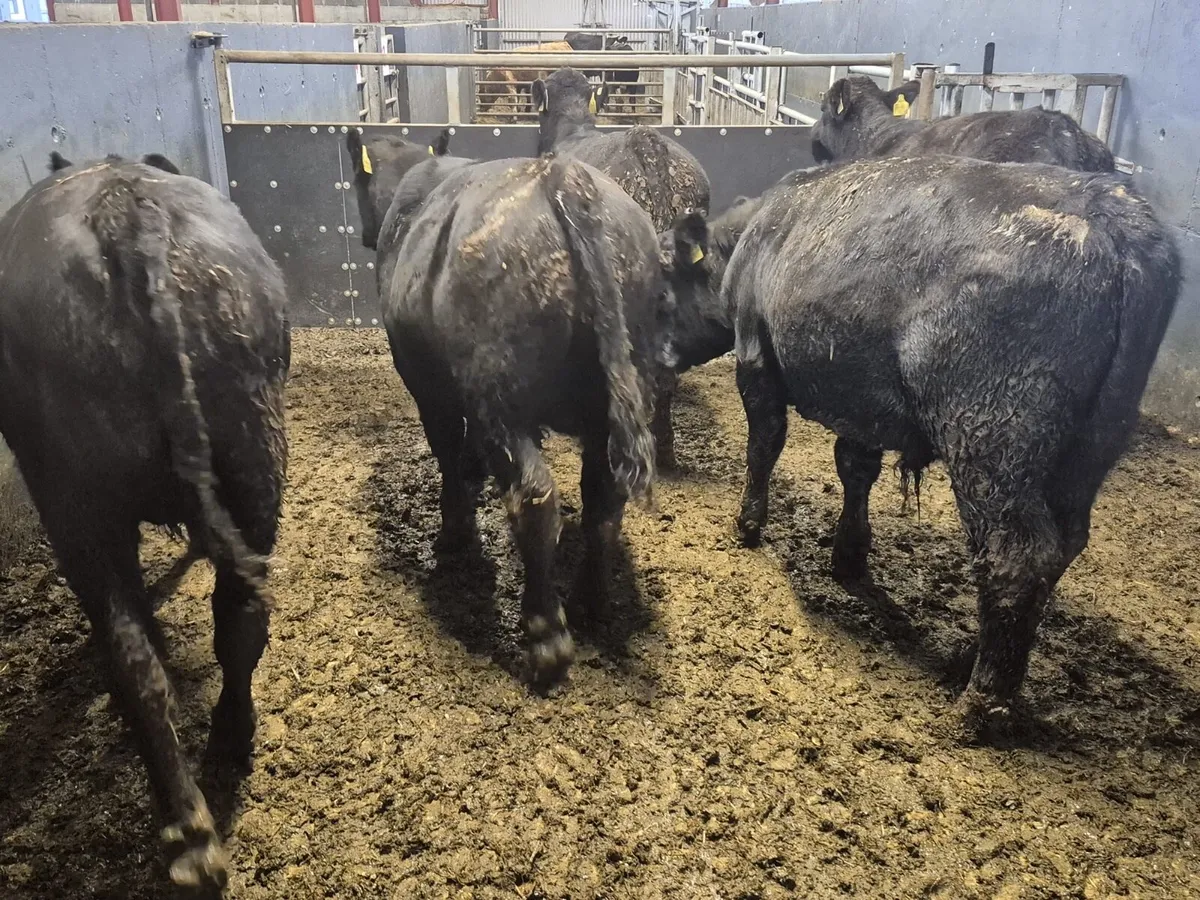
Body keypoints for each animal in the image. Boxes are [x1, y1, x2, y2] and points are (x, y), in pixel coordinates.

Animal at [0, 152, 290, 888]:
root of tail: (124, 214)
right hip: (252, 462)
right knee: (227, 623)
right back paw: (214, 776)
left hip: (75, 501)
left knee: (145, 646)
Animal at [347, 141, 668, 686]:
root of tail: (561, 175)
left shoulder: (427, 385)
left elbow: (447, 452)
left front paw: (454, 533)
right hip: (617, 393)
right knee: (604, 501)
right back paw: (590, 603)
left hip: (501, 402)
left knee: (534, 498)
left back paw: (546, 637)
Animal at [662, 156, 1178, 735]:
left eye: (664, 282)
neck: (754, 235)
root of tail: (1115, 216)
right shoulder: (860, 398)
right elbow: (854, 468)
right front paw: (848, 556)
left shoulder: (756, 354)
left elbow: (764, 443)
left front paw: (748, 524)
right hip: (1088, 451)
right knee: (1061, 548)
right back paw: (972, 658)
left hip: (989, 439)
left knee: (1016, 558)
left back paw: (981, 704)